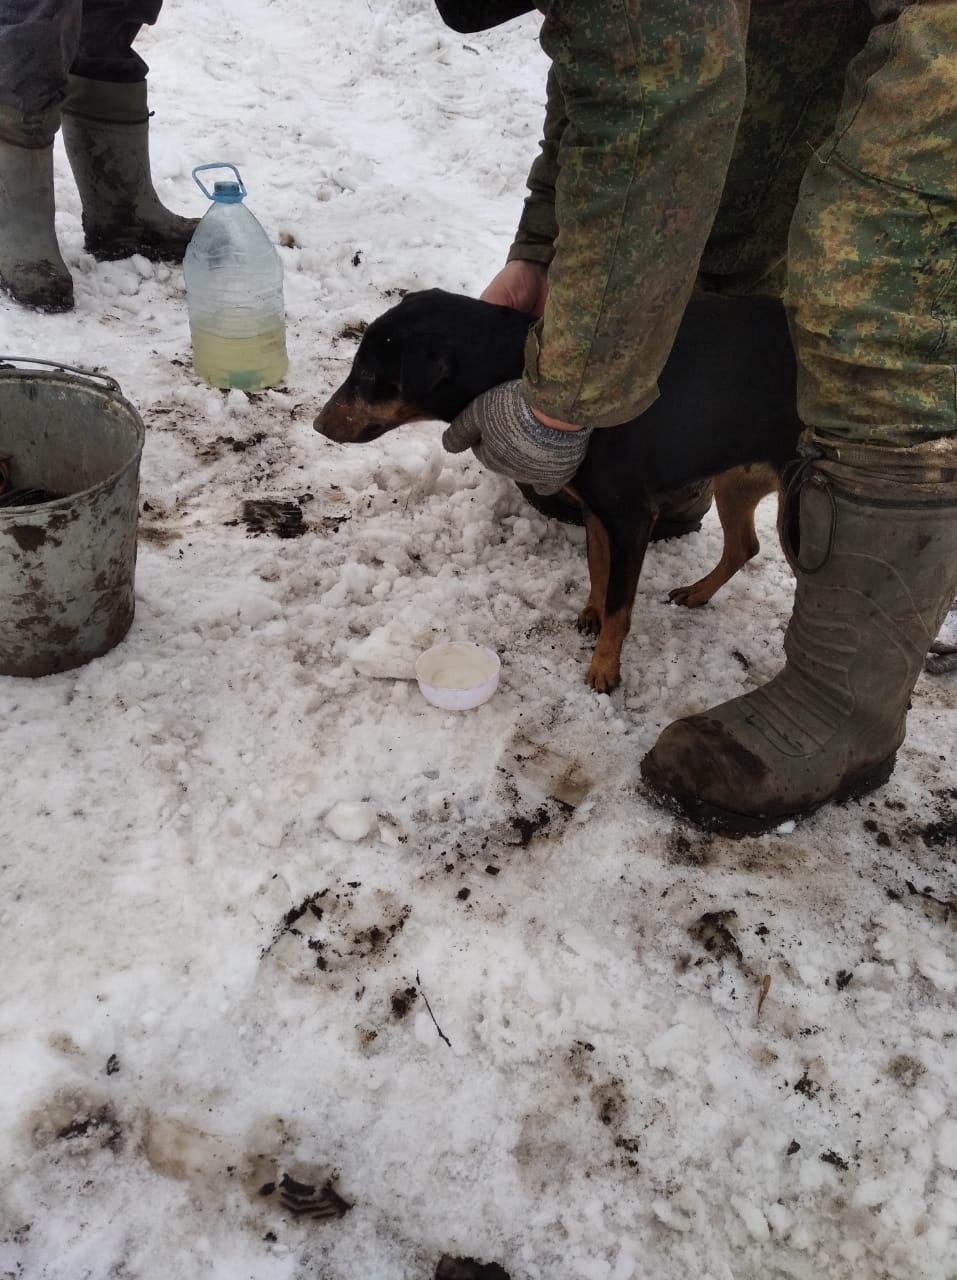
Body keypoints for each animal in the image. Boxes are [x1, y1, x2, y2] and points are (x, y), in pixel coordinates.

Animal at [313, 288, 798, 691]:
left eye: (367, 375)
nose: (318, 424)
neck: (520, 370)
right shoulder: (596, 510)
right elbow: (598, 566)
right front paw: (591, 613)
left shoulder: (632, 516)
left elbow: (620, 604)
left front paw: (604, 668)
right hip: (737, 477)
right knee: (745, 546)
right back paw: (698, 593)